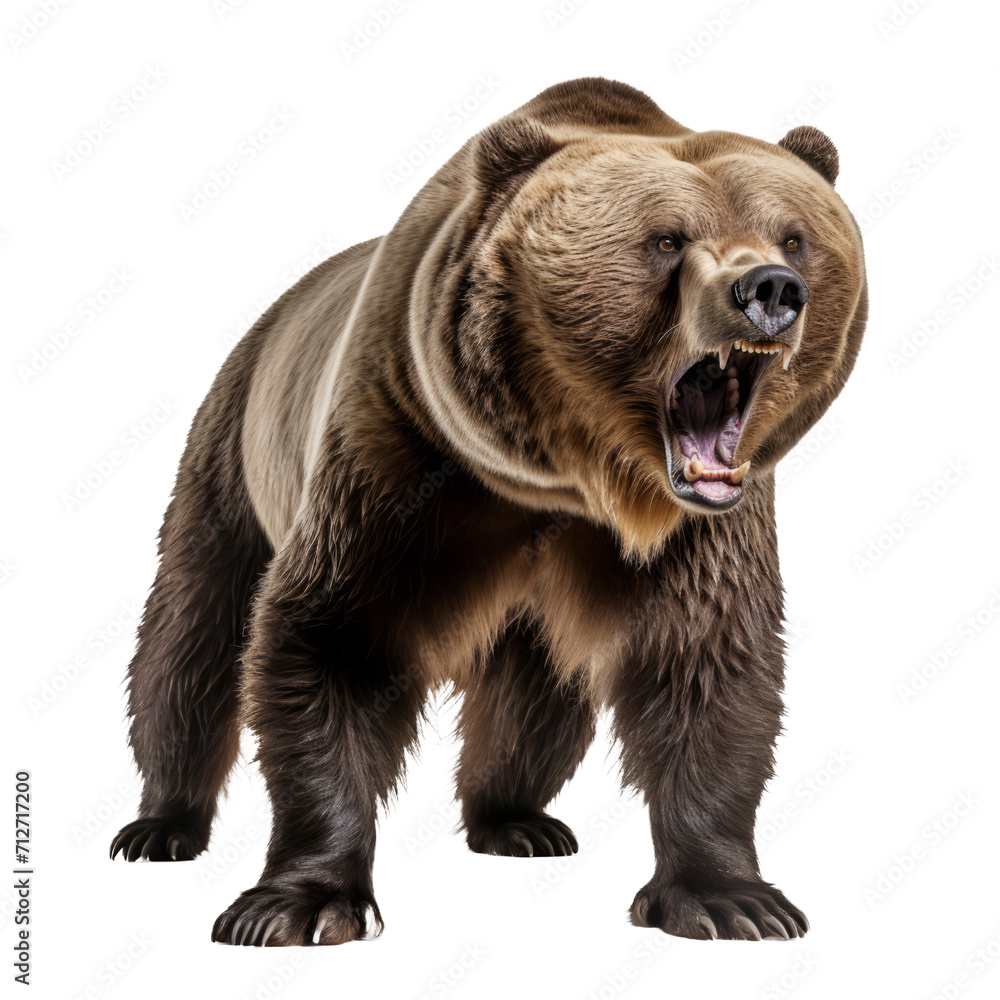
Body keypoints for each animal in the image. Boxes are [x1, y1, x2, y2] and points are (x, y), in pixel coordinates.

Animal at [110, 77, 867, 945]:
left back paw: (517, 819)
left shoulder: (697, 532)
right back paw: (160, 823)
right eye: (667, 240)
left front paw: (730, 897)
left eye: (795, 236)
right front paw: (299, 903)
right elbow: (332, 641)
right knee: (190, 637)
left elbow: (707, 667)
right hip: (231, 451)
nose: (771, 290)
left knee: (535, 694)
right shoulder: (396, 461)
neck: (569, 479)